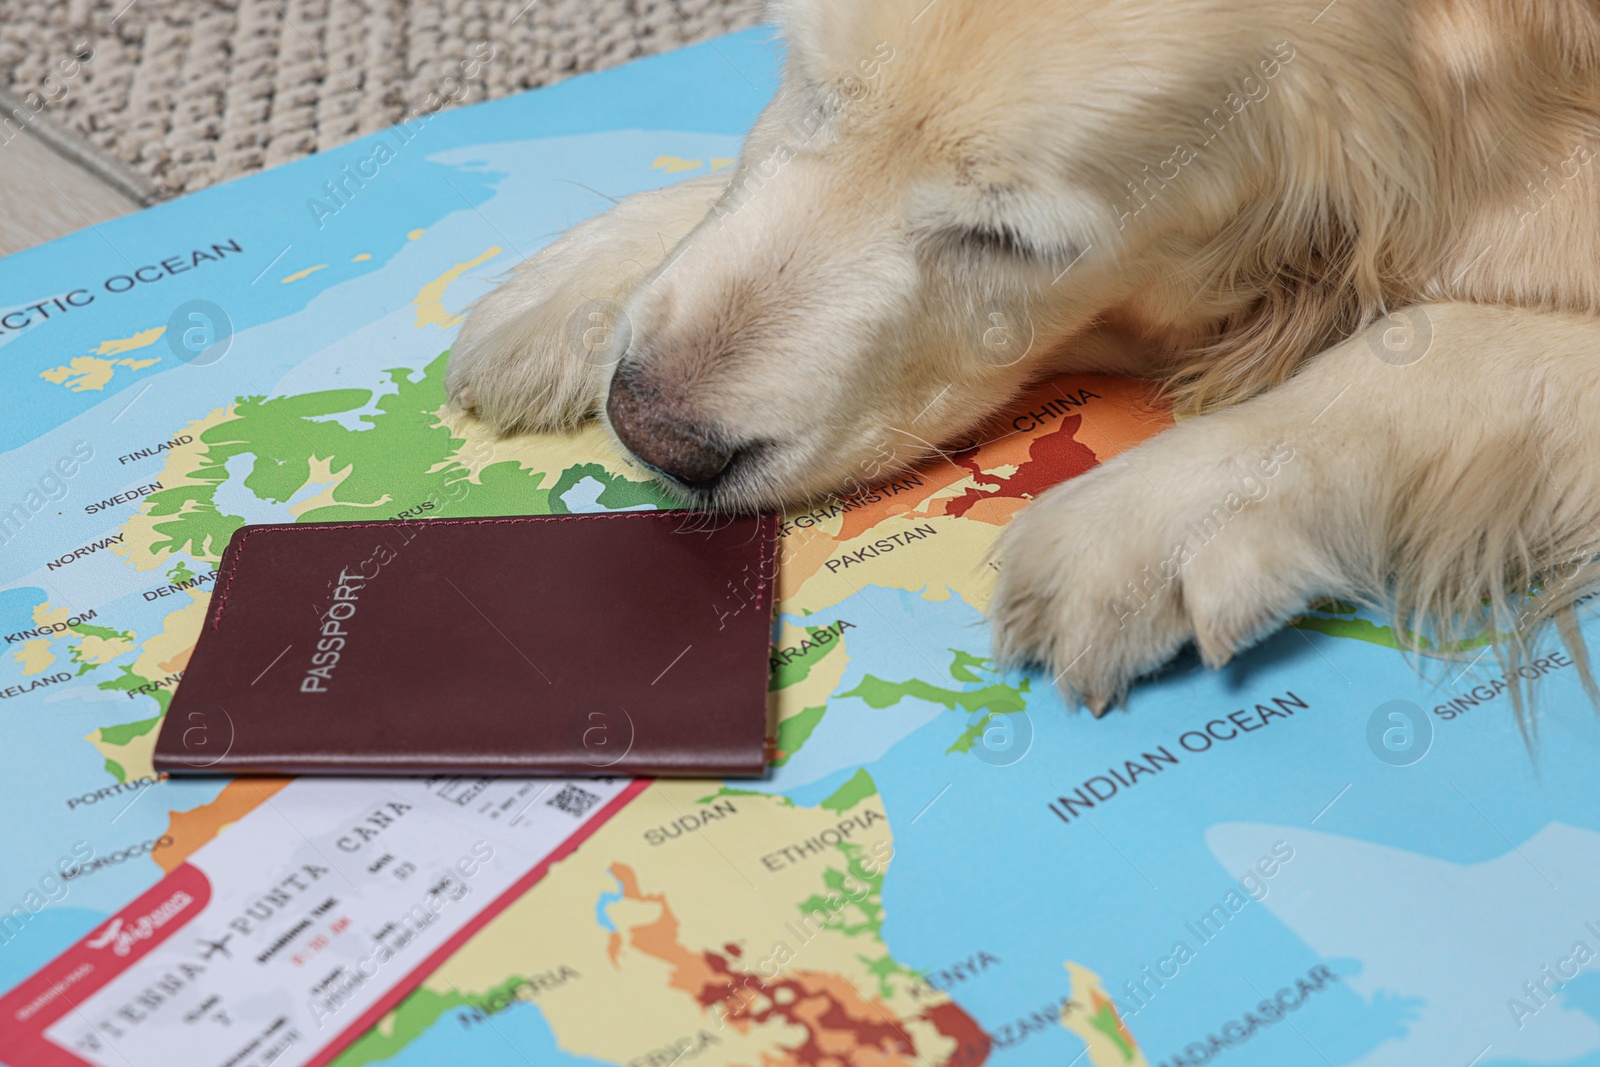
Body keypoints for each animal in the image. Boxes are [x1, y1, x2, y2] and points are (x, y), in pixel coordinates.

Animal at [444, 0, 1600, 723]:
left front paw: (1157, 513)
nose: (655, 428)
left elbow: (1443, 342)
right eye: (811, 85)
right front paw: (590, 277)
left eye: (1010, 241)